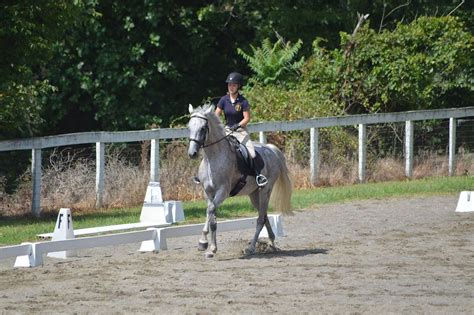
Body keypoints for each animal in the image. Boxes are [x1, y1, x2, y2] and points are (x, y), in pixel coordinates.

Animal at [186, 105, 290, 258]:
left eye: (203, 128)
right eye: (189, 127)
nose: (192, 154)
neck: (212, 158)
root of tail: (271, 149)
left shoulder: (222, 191)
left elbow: (210, 210)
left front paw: (202, 242)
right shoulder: (208, 193)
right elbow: (212, 219)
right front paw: (212, 249)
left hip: (265, 191)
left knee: (260, 219)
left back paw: (251, 248)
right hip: (254, 195)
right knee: (264, 216)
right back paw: (271, 243)